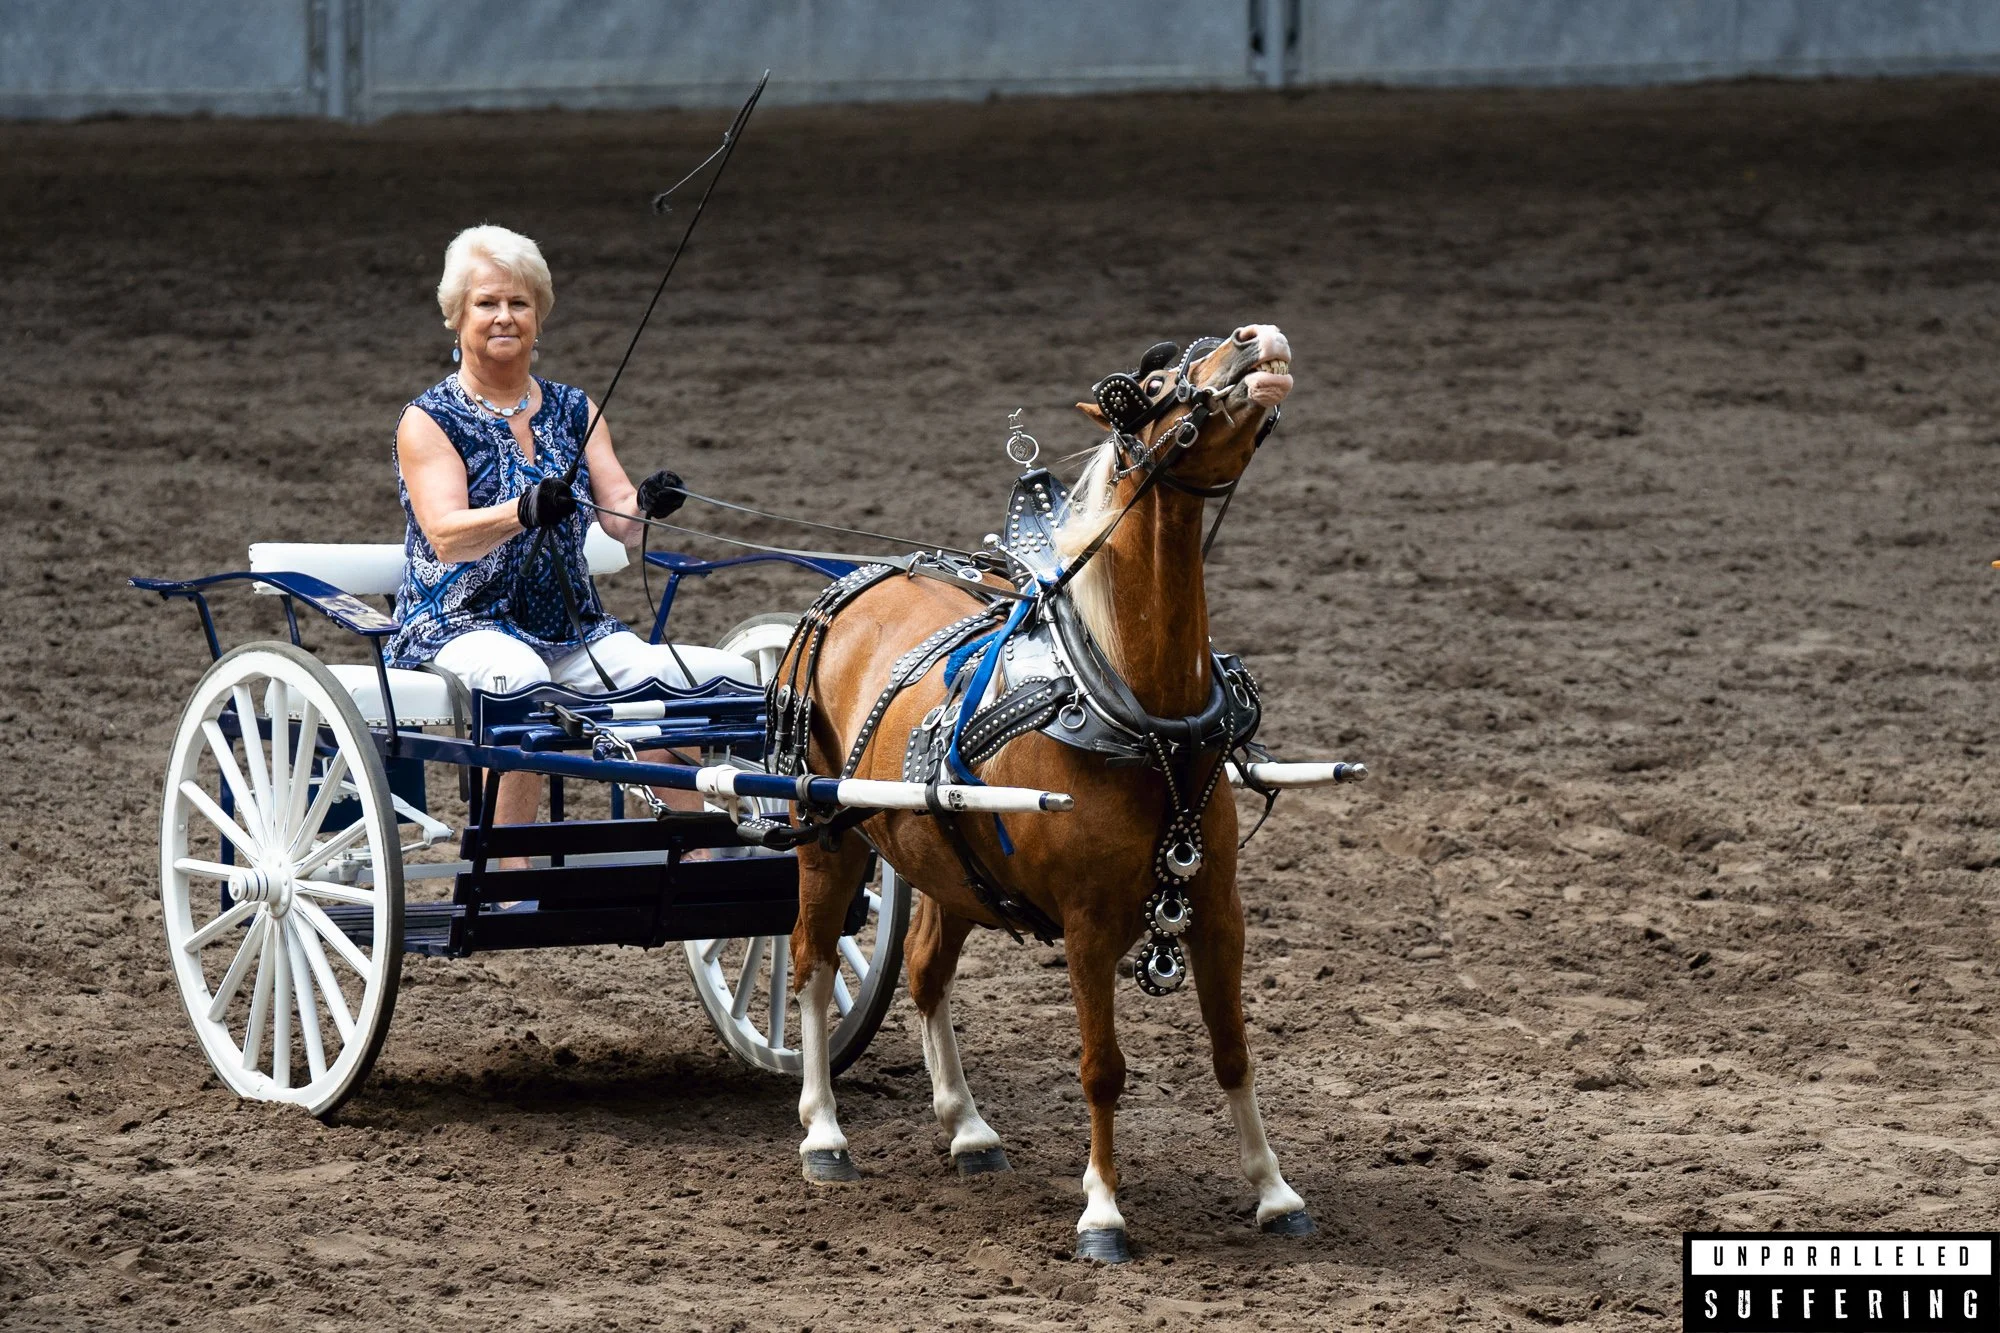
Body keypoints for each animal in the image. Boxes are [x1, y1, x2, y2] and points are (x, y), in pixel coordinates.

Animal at [778, 324, 1308, 1261]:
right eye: (1155, 388)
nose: (1256, 337)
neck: (1139, 710)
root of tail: (859, 580)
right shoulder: (1090, 923)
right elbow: (1102, 1067)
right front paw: (1102, 1210)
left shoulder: (1218, 905)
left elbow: (1233, 1050)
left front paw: (1273, 1190)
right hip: (826, 831)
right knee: (811, 964)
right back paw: (824, 1133)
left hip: (948, 863)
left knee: (925, 970)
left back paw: (966, 1127)